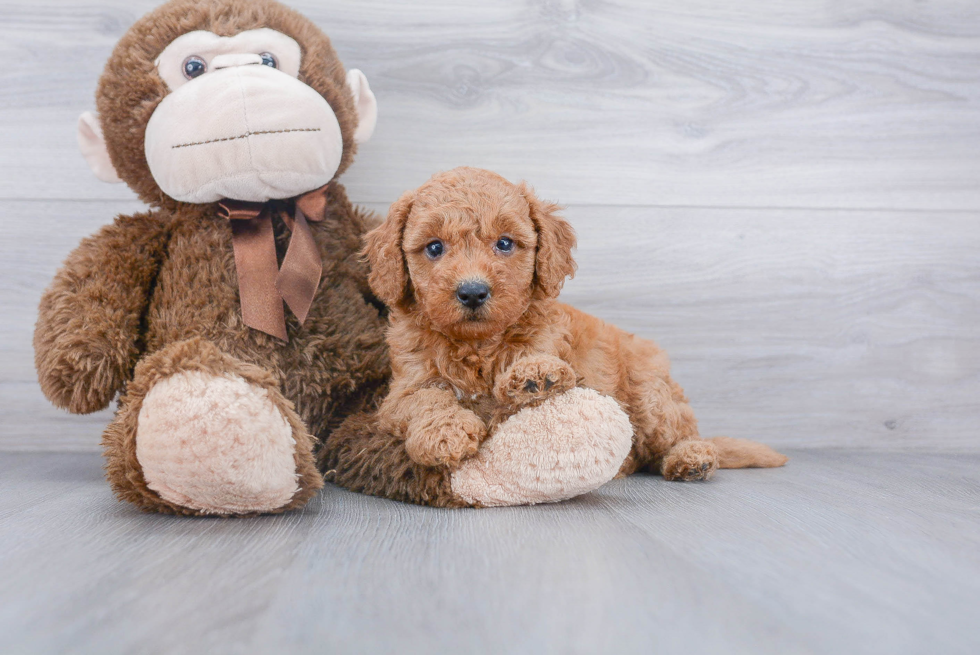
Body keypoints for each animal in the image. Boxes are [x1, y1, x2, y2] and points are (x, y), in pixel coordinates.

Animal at [364, 167, 784, 480]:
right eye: (434, 247)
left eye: (505, 243)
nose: (472, 292)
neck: (477, 344)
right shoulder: (401, 390)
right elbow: (426, 398)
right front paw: (444, 432)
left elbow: (510, 397)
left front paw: (533, 375)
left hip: (652, 397)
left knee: (678, 434)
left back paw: (692, 457)